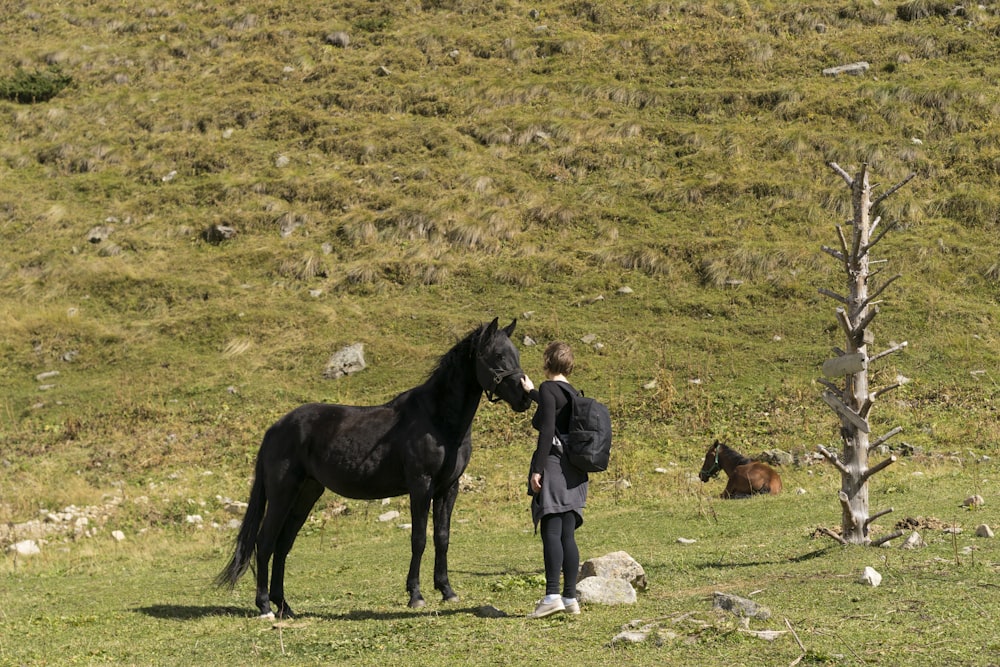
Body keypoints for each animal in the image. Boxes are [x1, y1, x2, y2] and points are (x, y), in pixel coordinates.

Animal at [216, 318, 536, 616]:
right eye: (497, 355)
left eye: (516, 353)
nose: (525, 397)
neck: (438, 421)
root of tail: (275, 428)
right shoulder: (421, 485)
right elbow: (419, 538)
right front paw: (415, 595)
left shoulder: (449, 487)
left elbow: (442, 537)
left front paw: (447, 590)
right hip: (282, 494)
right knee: (265, 543)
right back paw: (265, 606)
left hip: (306, 494)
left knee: (283, 545)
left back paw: (284, 607)